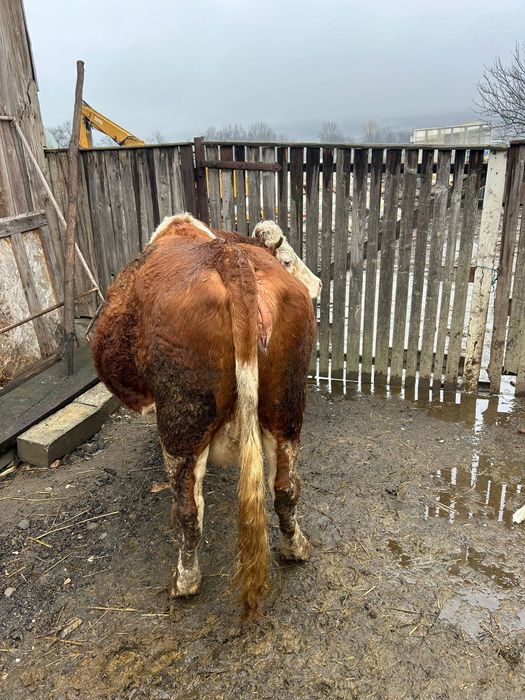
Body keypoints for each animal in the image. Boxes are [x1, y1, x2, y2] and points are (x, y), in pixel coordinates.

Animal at [92, 213, 320, 617]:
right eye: (288, 258)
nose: (320, 286)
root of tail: (228, 256)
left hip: (183, 421)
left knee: (187, 510)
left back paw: (185, 581)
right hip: (286, 408)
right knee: (285, 487)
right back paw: (295, 547)